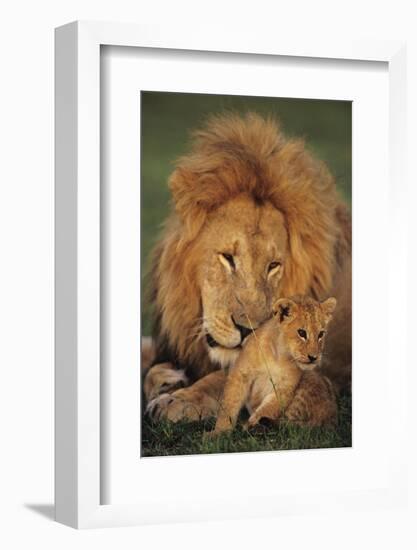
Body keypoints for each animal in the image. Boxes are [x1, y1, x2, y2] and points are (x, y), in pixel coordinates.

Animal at [145, 112, 350, 422]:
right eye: (228, 258)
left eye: (273, 266)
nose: (247, 332)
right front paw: (168, 377)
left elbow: (225, 379)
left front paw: (178, 399)